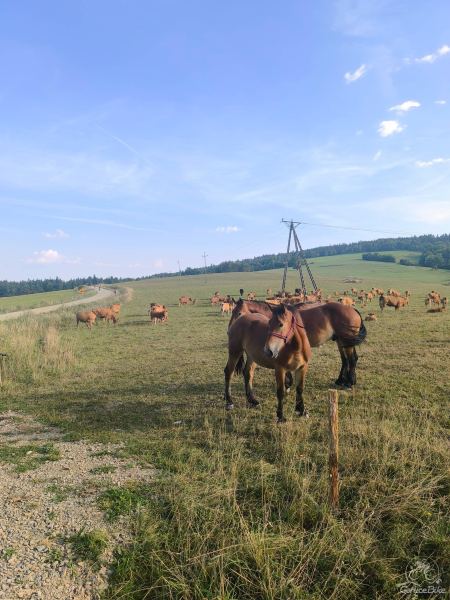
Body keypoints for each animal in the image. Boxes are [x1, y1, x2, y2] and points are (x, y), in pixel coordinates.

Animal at [229, 298, 366, 386]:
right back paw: (342, 380)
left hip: (346, 341)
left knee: (351, 359)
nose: (230, 330)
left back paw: (350, 382)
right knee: (347, 360)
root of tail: (352, 309)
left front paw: (288, 382)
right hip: (342, 341)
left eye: (239, 313)